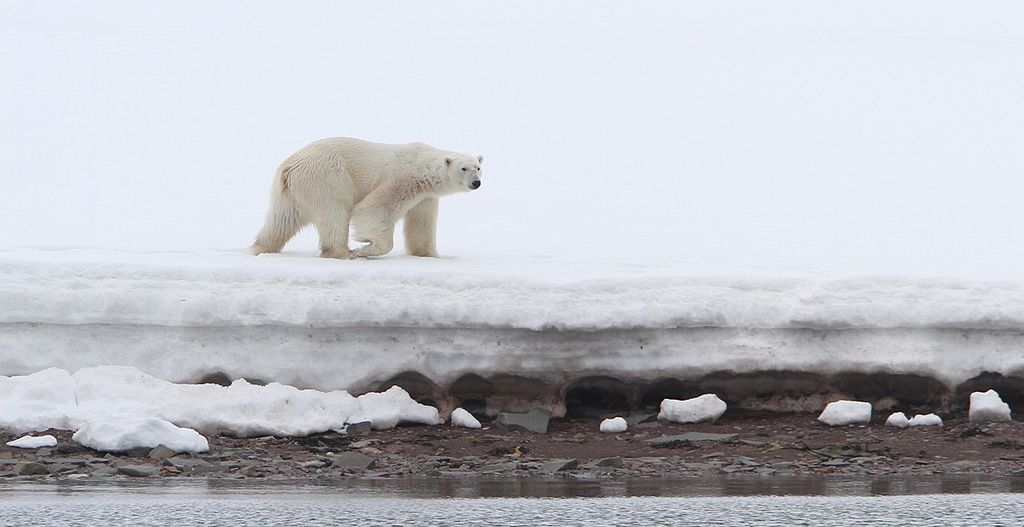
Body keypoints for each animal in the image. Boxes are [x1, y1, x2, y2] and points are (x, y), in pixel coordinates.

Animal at [251, 137, 483, 258]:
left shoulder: (425, 196)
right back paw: (343, 252)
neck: (423, 166)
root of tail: (289, 167)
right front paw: (365, 248)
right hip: (327, 178)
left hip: (289, 193)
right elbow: (374, 210)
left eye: (478, 167)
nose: (476, 182)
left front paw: (430, 255)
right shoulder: (401, 179)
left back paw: (261, 247)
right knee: (335, 213)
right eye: (464, 168)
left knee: (281, 220)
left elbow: (421, 225)